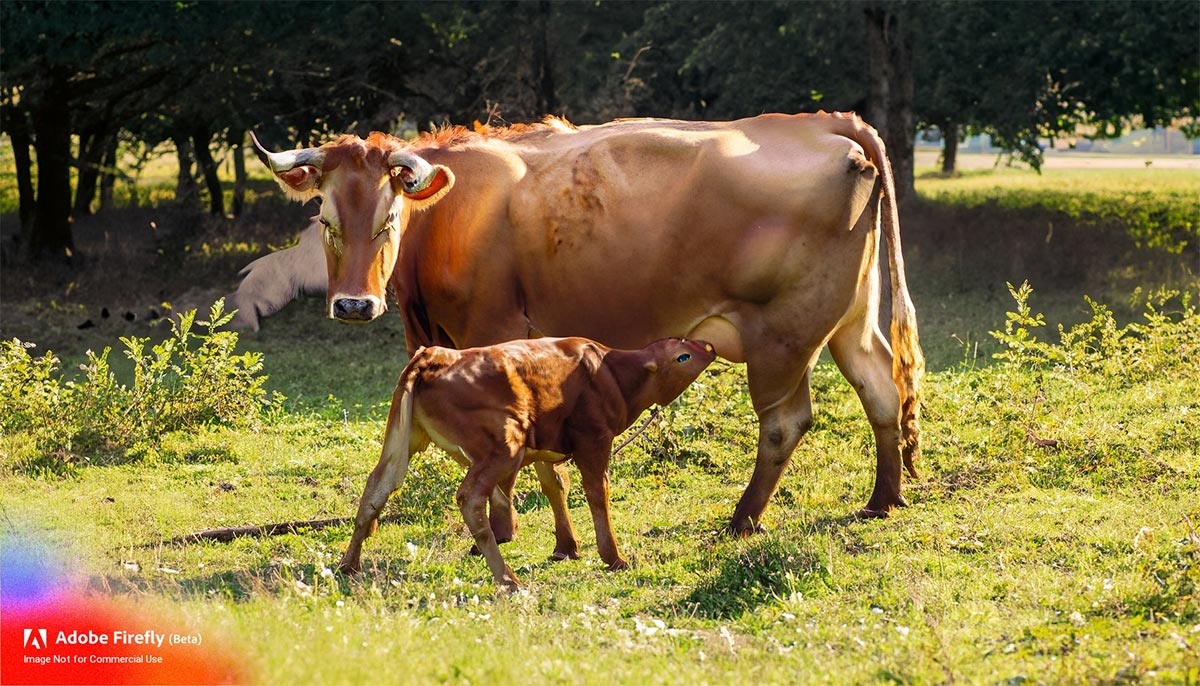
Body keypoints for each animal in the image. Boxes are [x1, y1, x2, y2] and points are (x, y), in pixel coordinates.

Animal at [238, 112, 921, 544]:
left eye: (387, 220)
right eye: (325, 219)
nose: (354, 306)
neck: (446, 219)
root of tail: (821, 121)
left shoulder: (495, 333)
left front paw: (503, 529)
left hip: (783, 333)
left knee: (784, 422)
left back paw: (743, 518)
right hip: (850, 317)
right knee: (881, 389)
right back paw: (883, 499)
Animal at [333, 338, 715, 590]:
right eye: (682, 356)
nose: (710, 346)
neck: (611, 373)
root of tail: (433, 355)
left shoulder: (546, 448)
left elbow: (555, 488)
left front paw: (566, 548)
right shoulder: (593, 440)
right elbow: (597, 491)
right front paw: (613, 557)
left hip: (403, 441)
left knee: (377, 489)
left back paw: (348, 565)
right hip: (505, 445)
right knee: (470, 497)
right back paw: (508, 579)